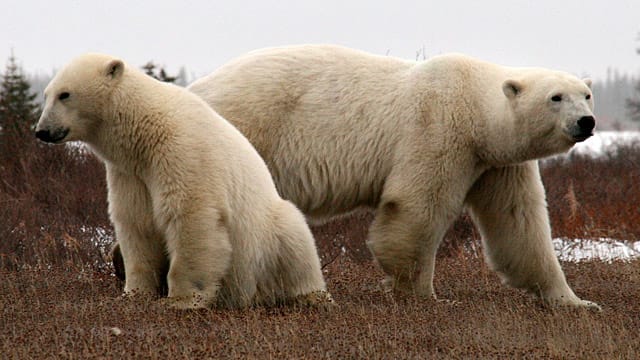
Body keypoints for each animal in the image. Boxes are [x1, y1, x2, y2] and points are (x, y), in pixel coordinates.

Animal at [34, 53, 330, 310]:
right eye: (46, 94)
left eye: (65, 94)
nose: (41, 131)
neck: (144, 131)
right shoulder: (130, 174)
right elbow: (136, 224)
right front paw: (133, 294)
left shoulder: (181, 152)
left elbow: (191, 217)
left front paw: (181, 301)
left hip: (268, 234)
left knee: (294, 242)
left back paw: (309, 296)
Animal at [186, 45, 600, 310]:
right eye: (556, 97)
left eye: (586, 94)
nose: (587, 122)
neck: (475, 109)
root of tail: (195, 88)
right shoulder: (438, 130)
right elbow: (416, 208)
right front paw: (424, 296)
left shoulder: (497, 163)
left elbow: (519, 224)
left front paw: (576, 302)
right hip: (247, 132)